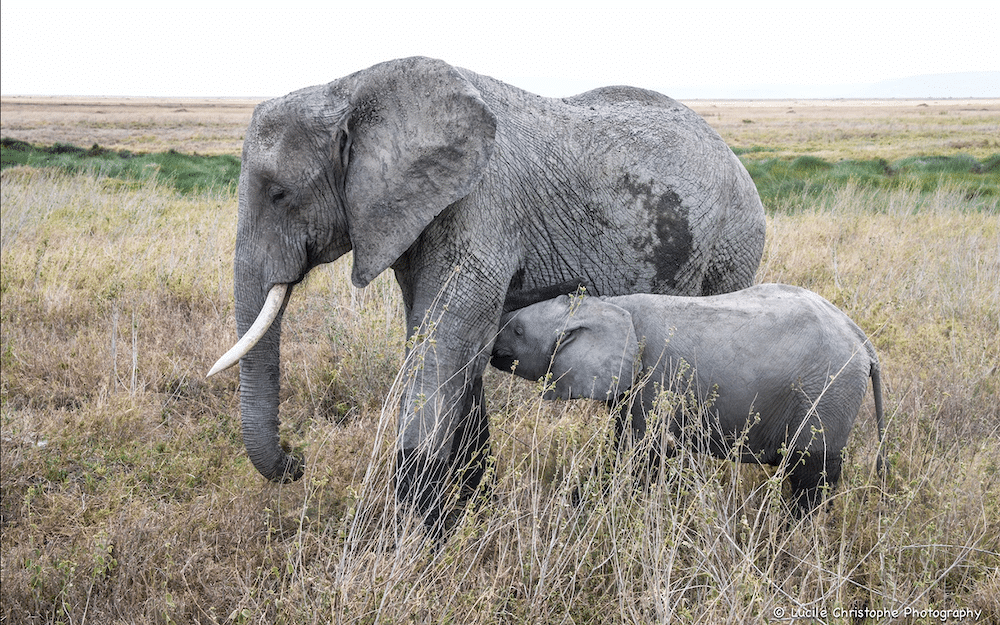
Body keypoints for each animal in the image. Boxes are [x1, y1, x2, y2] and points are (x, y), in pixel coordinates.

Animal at [206, 56, 766, 528]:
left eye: (279, 194)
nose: (297, 458)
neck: (352, 87)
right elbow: (452, 346)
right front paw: (475, 511)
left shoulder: (481, 207)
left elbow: (443, 345)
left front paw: (417, 541)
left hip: (731, 247)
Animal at [490, 284, 885, 514]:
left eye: (518, 330)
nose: (491, 349)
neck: (609, 305)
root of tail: (863, 341)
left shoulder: (653, 379)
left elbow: (637, 453)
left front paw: (573, 505)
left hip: (827, 392)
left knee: (811, 474)